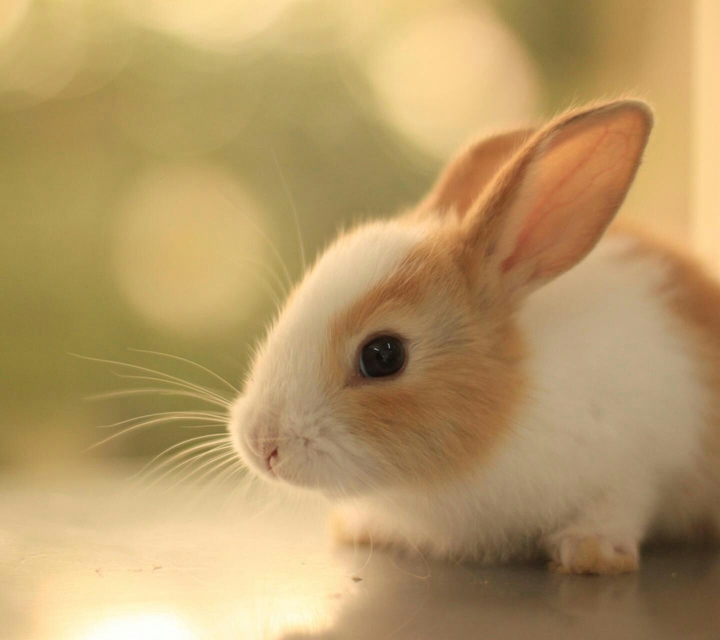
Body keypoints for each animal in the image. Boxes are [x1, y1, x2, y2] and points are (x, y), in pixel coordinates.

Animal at [229, 99, 720, 574]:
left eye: (383, 355)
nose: (262, 444)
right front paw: (361, 528)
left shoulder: (638, 464)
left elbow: (619, 506)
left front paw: (590, 552)